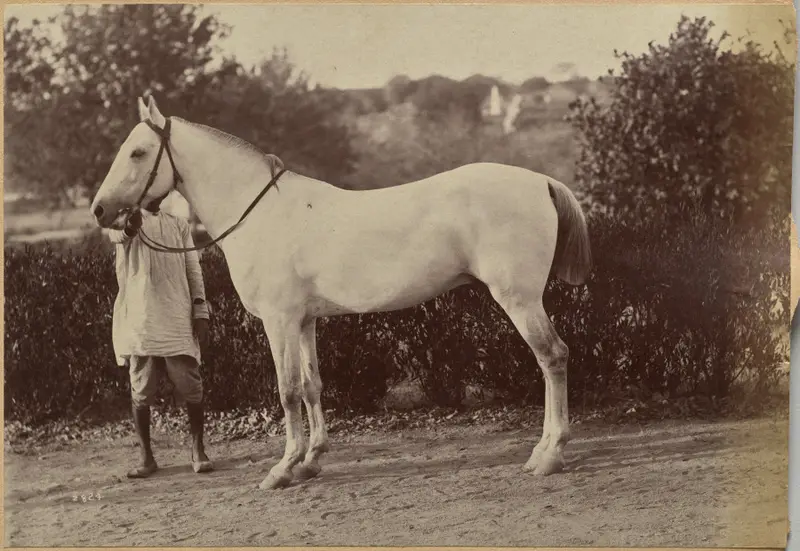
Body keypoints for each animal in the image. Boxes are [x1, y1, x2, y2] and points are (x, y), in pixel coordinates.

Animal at [90, 96, 592, 490]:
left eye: (138, 152)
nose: (100, 210)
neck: (259, 213)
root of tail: (541, 181)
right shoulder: (304, 321)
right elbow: (313, 386)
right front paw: (310, 461)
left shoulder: (278, 321)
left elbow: (287, 390)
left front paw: (282, 469)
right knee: (549, 360)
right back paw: (542, 450)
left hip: (519, 300)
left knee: (552, 357)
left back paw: (550, 455)